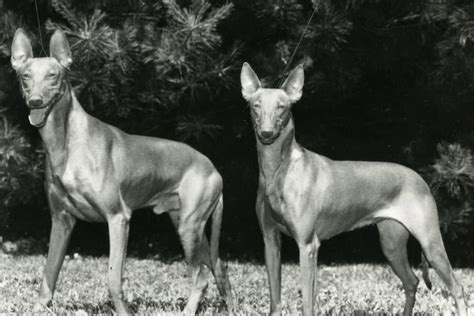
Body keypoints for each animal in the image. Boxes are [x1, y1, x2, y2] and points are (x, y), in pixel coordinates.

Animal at [10, 28, 232, 314]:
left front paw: (123, 309)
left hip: (189, 226)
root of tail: (213, 167)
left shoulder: (118, 218)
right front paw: (39, 307)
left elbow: (113, 279)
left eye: (53, 75)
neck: (65, 143)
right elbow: (49, 275)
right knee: (218, 266)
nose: (35, 100)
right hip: (188, 223)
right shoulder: (61, 221)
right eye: (25, 76)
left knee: (202, 276)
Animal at [239, 62, 468, 316]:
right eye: (255, 106)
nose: (266, 134)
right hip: (391, 244)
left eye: (282, 107)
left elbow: (307, 301)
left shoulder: (308, 245)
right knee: (412, 282)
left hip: (430, 242)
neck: (278, 170)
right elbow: (275, 301)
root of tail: (419, 178)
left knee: (456, 287)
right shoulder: (270, 242)